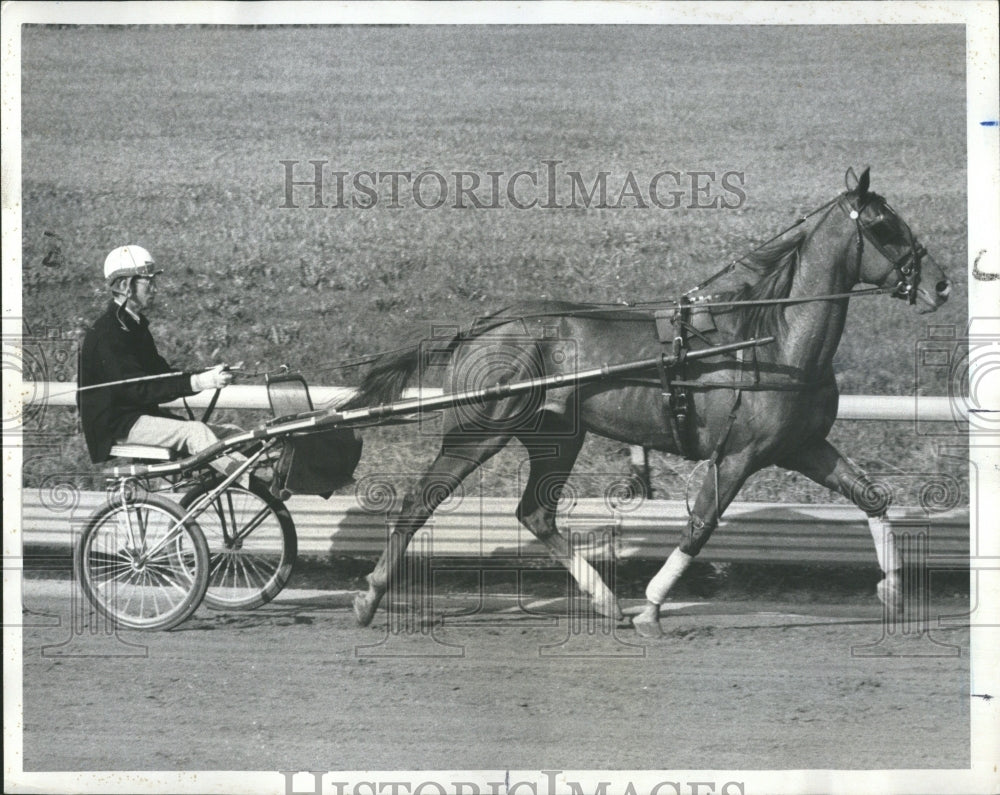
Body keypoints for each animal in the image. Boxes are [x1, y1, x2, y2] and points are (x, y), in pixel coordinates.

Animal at [348, 169, 948, 640]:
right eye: (883, 226)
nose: (940, 285)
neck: (774, 341)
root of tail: (485, 325)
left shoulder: (801, 446)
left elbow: (873, 496)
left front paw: (894, 592)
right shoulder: (737, 456)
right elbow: (700, 526)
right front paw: (653, 606)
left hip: (557, 437)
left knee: (535, 513)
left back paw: (606, 600)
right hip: (481, 431)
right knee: (420, 502)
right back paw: (371, 594)